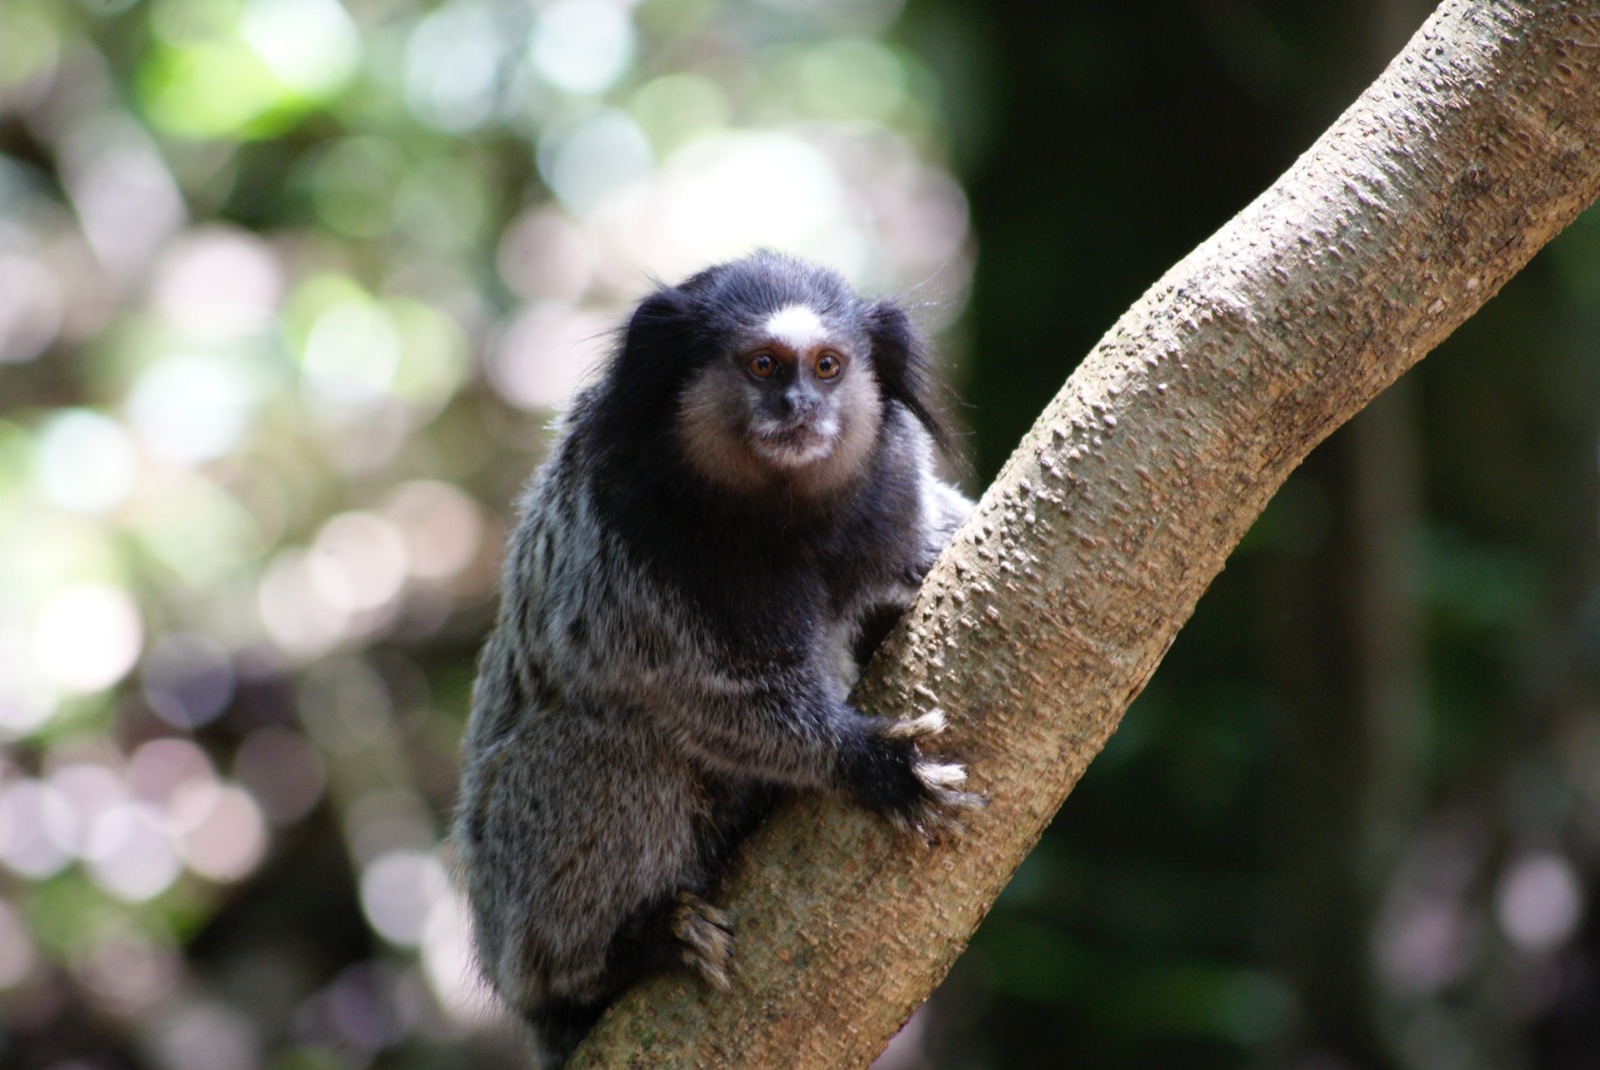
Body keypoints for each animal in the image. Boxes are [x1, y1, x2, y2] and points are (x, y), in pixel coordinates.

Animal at [457, 251, 979, 1062]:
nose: (799, 406)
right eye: (763, 364)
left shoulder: (895, 493)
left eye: (827, 366)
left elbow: (937, 533)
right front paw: (869, 761)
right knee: (609, 748)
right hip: (504, 891)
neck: (783, 519)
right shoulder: (636, 539)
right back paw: (620, 958)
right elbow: (704, 695)